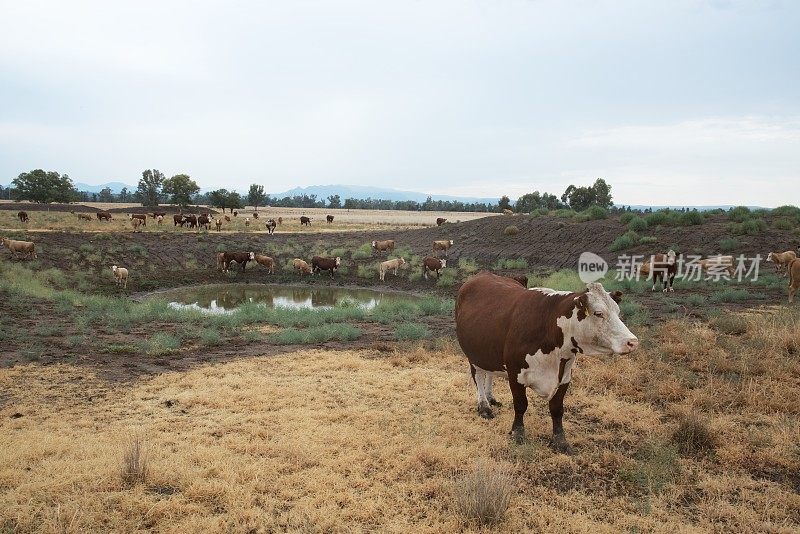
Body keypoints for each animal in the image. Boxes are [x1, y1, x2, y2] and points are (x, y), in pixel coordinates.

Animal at [456, 272, 636, 452]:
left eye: (618, 311)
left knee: (490, 373)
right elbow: (520, 404)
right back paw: (484, 406)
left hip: (489, 351)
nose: (632, 341)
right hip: (473, 353)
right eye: (598, 313)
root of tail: (483, 274)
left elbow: (557, 409)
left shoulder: (564, 376)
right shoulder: (515, 373)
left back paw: (490, 397)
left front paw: (560, 441)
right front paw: (517, 433)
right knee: (478, 375)